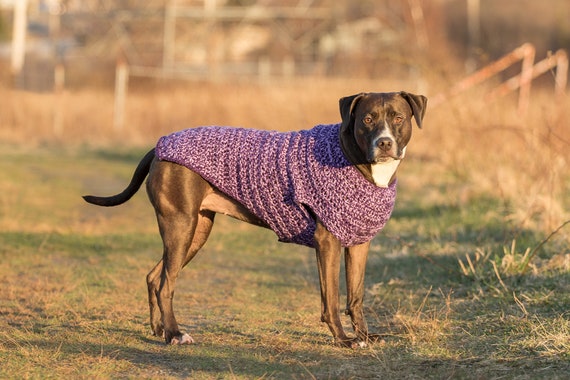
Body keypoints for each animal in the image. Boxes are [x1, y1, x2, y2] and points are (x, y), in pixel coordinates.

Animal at [82, 91, 424, 348]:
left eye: (398, 118)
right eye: (367, 120)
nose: (384, 143)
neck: (351, 156)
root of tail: (159, 146)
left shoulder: (359, 244)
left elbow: (356, 295)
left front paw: (365, 336)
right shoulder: (327, 242)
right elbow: (331, 297)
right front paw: (344, 339)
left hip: (195, 231)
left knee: (156, 276)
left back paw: (160, 330)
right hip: (181, 227)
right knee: (166, 283)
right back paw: (176, 334)